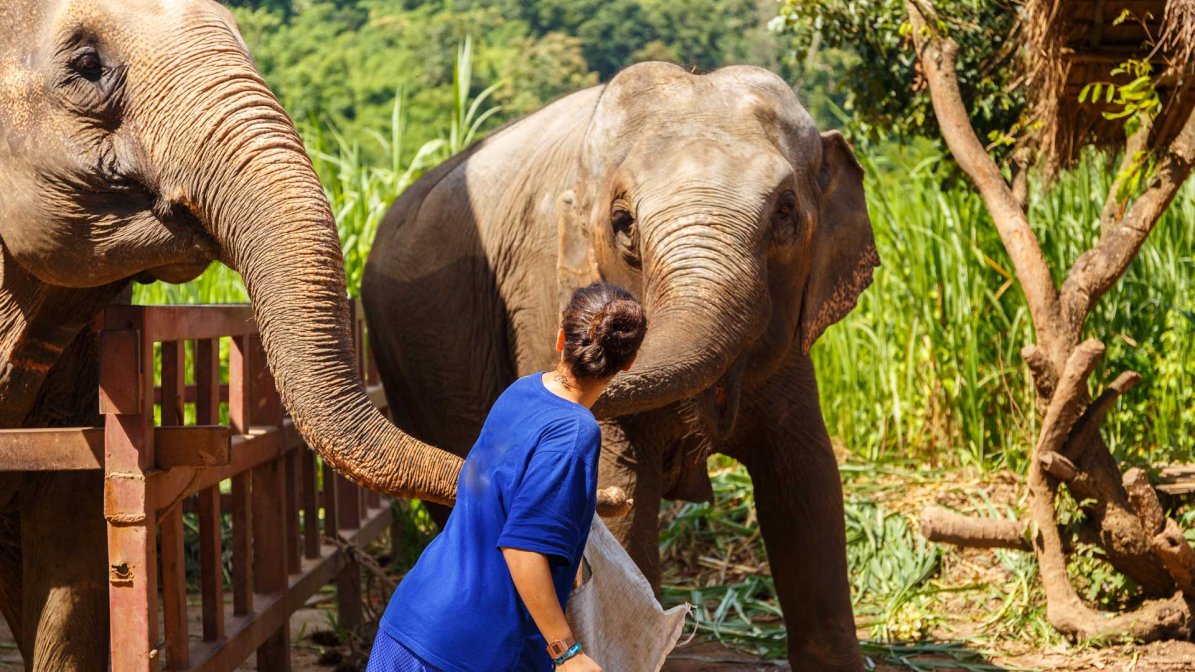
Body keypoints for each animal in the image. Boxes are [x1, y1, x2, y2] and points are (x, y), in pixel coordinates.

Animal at [362, 61, 879, 671]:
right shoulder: (544, 289)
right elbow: (622, 493)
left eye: (785, 212)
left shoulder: (790, 351)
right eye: (623, 222)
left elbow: (807, 486)